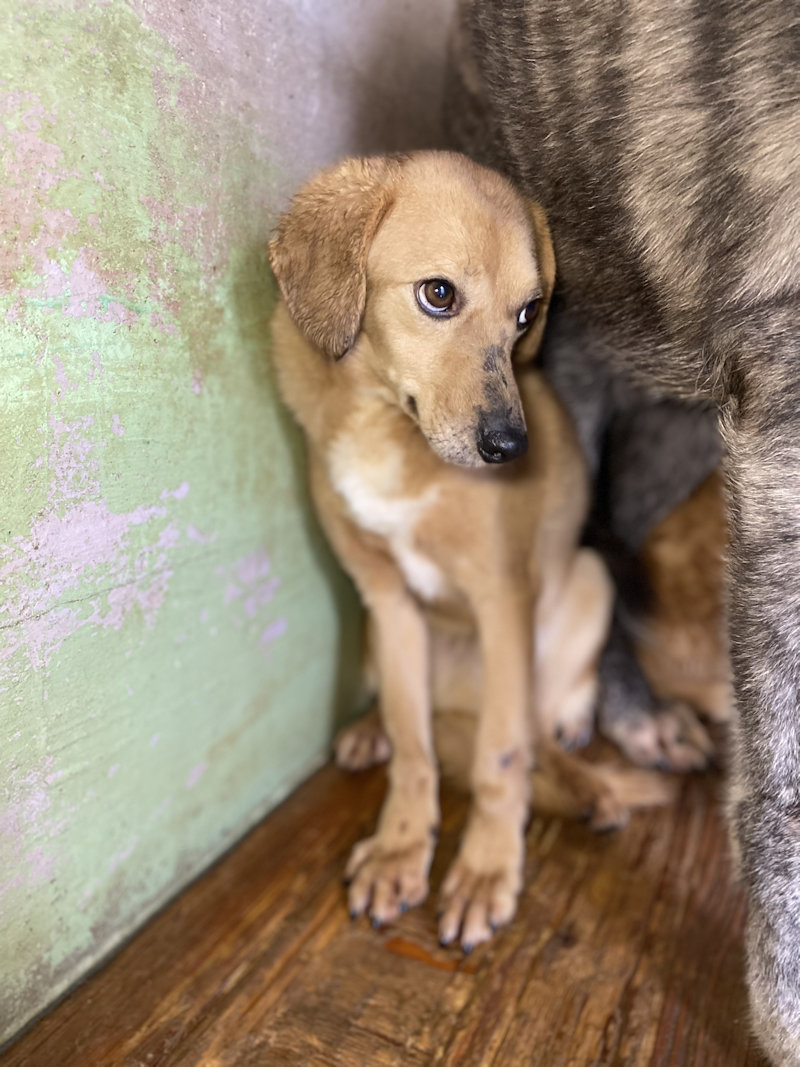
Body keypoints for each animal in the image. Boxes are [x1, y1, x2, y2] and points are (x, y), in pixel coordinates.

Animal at [268, 151, 669, 951]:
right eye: (438, 294)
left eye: (526, 314)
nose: (512, 449)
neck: (385, 429)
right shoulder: (386, 599)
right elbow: (414, 746)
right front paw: (401, 848)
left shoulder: (503, 598)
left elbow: (501, 757)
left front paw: (486, 869)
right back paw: (369, 732)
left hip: (585, 582)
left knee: (539, 728)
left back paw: (585, 770)